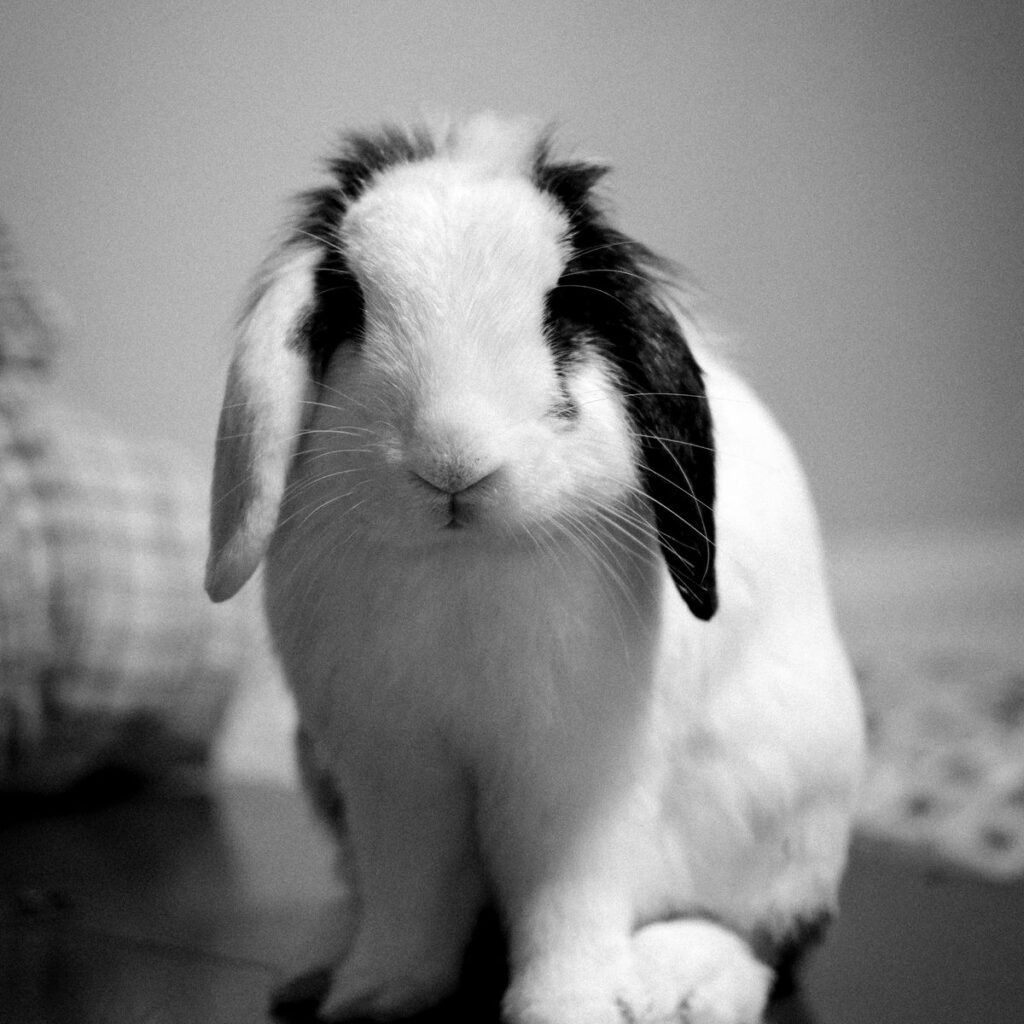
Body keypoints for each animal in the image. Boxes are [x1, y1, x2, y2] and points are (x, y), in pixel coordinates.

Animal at [205, 114, 865, 1024]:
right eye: (353, 308)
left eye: (562, 314)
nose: (452, 463)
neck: (463, 559)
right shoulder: (394, 771)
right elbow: (411, 893)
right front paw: (374, 995)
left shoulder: (574, 778)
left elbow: (564, 902)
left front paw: (565, 1007)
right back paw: (316, 967)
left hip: (781, 813)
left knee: (768, 936)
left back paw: (678, 985)